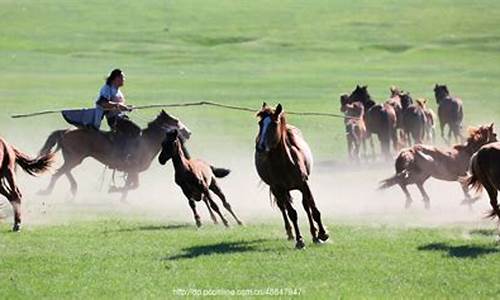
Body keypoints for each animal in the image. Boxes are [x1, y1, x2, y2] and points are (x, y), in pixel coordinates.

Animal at [38, 110, 190, 202]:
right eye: (176, 122)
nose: (189, 133)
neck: (146, 141)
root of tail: (65, 132)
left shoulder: (132, 171)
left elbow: (131, 185)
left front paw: (123, 199)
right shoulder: (133, 169)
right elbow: (134, 185)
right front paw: (114, 190)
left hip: (72, 158)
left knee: (64, 172)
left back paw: (72, 189)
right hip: (74, 159)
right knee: (58, 173)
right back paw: (47, 191)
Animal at [254, 102, 328, 248]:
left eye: (274, 123)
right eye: (260, 123)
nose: (260, 147)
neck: (285, 163)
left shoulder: (304, 184)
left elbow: (313, 209)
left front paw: (322, 234)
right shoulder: (280, 189)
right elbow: (292, 213)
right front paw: (300, 240)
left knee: (306, 206)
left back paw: (314, 235)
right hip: (276, 190)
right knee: (282, 208)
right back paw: (290, 234)